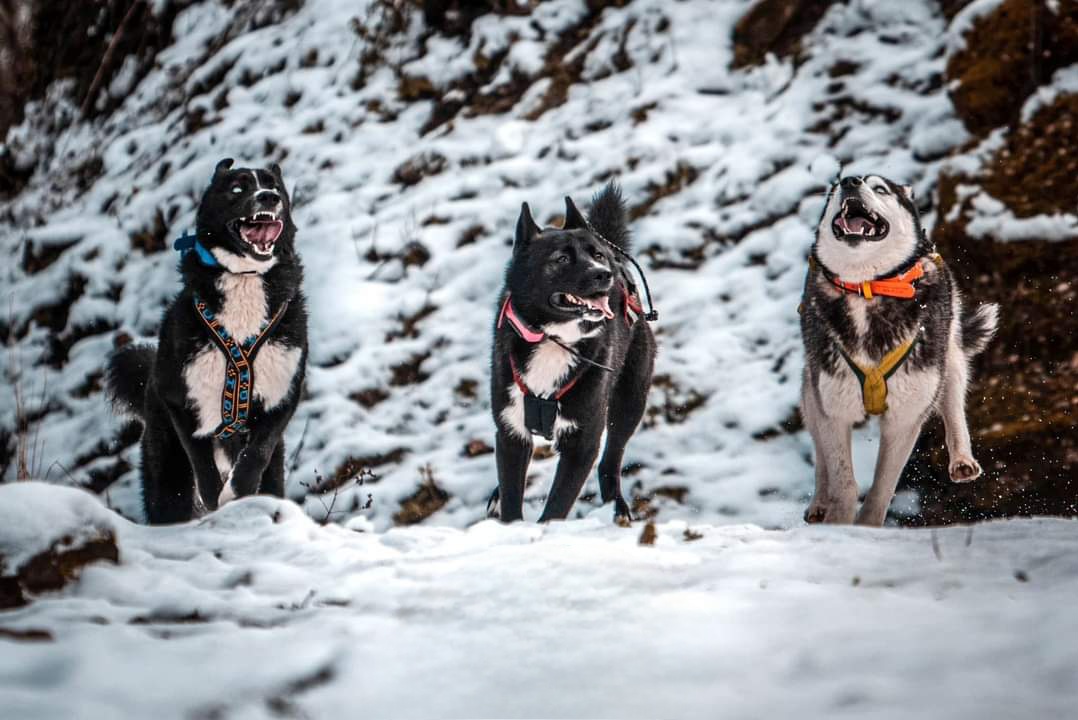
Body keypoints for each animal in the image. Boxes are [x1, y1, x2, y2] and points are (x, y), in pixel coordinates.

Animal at [107, 158, 308, 524]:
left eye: (275, 187)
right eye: (238, 188)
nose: (268, 197)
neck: (245, 278)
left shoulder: (283, 395)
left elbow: (257, 452)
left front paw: (239, 491)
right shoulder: (179, 399)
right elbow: (200, 458)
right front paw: (216, 496)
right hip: (165, 467)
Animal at [489, 183, 656, 523]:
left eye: (597, 255)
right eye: (562, 258)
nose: (604, 273)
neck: (554, 340)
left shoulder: (583, 441)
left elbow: (557, 505)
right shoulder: (511, 431)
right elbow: (512, 495)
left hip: (630, 400)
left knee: (610, 460)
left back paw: (617, 508)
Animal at [800, 174, 998, 526]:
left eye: (880, 189)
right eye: (835, 188)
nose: (849, 181)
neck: (867, 287)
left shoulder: (905, 418)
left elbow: (882, 488)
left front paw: (865, 527)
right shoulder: (832, 407)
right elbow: (842, 480)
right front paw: (838, 521)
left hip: (949, 355)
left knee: (952, 399)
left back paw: (962, 458)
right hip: (812, 387)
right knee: (820, 451)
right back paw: (820, 503)